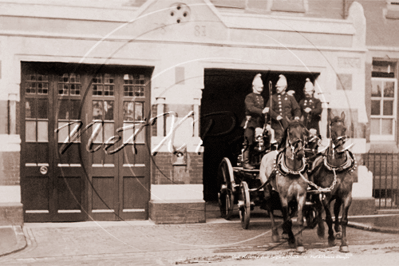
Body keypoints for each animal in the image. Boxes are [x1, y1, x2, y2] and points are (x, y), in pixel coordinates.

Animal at [260, 118, 310, 251]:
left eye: (305, 132)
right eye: (291, 133)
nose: (300, 153)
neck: (293, 171)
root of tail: (267, 153)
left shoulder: (301, 195)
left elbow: (299, 219)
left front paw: (300, 243)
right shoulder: (283, 196)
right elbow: (287, 219)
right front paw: (292, 240)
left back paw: (284, 232)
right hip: (267, 189)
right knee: (271, 208)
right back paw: (275, 234)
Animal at [310, 111, 358, 252]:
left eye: (344, 128)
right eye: (331, 130)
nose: (340, 149)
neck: (337, 168)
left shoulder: (346, 195)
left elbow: (343, 219)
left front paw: (344, 243)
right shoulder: (325, 196)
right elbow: (328, 217)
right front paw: (330, 238)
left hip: (337, 196)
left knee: (336, 209)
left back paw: (337, 230)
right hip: (317, 193)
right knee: (318, 208)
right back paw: (321, 229)